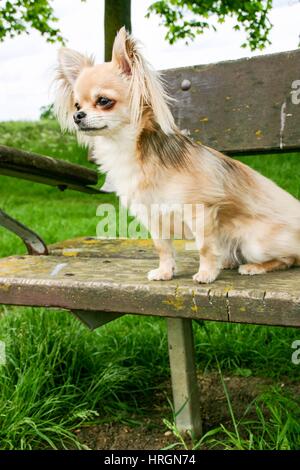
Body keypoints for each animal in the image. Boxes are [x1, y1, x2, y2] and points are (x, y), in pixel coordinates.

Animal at [54, 28, 300, 282]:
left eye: (103, 101)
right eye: (76, 105)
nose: (78, 116)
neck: (126, 148)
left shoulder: (199, 211)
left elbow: (204, 246)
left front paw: (206, 274)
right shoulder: (152, 216)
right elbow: (163, 247)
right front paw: (165, 272)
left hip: (256, 244)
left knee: (290, 259)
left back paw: (254, 267)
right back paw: (228, 261)